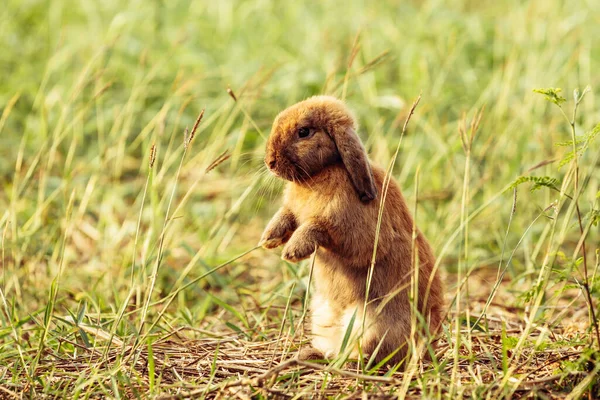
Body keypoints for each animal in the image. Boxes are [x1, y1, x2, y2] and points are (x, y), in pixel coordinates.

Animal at [260, 95, 442, 368]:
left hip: (372, 327)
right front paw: (269, 239)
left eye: (304, 132)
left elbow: (316, 228)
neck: (323, 171)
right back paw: (311, 354)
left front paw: (293, 251)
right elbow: (285, 217)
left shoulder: (350, 232)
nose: (270, 162)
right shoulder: (292, 211)